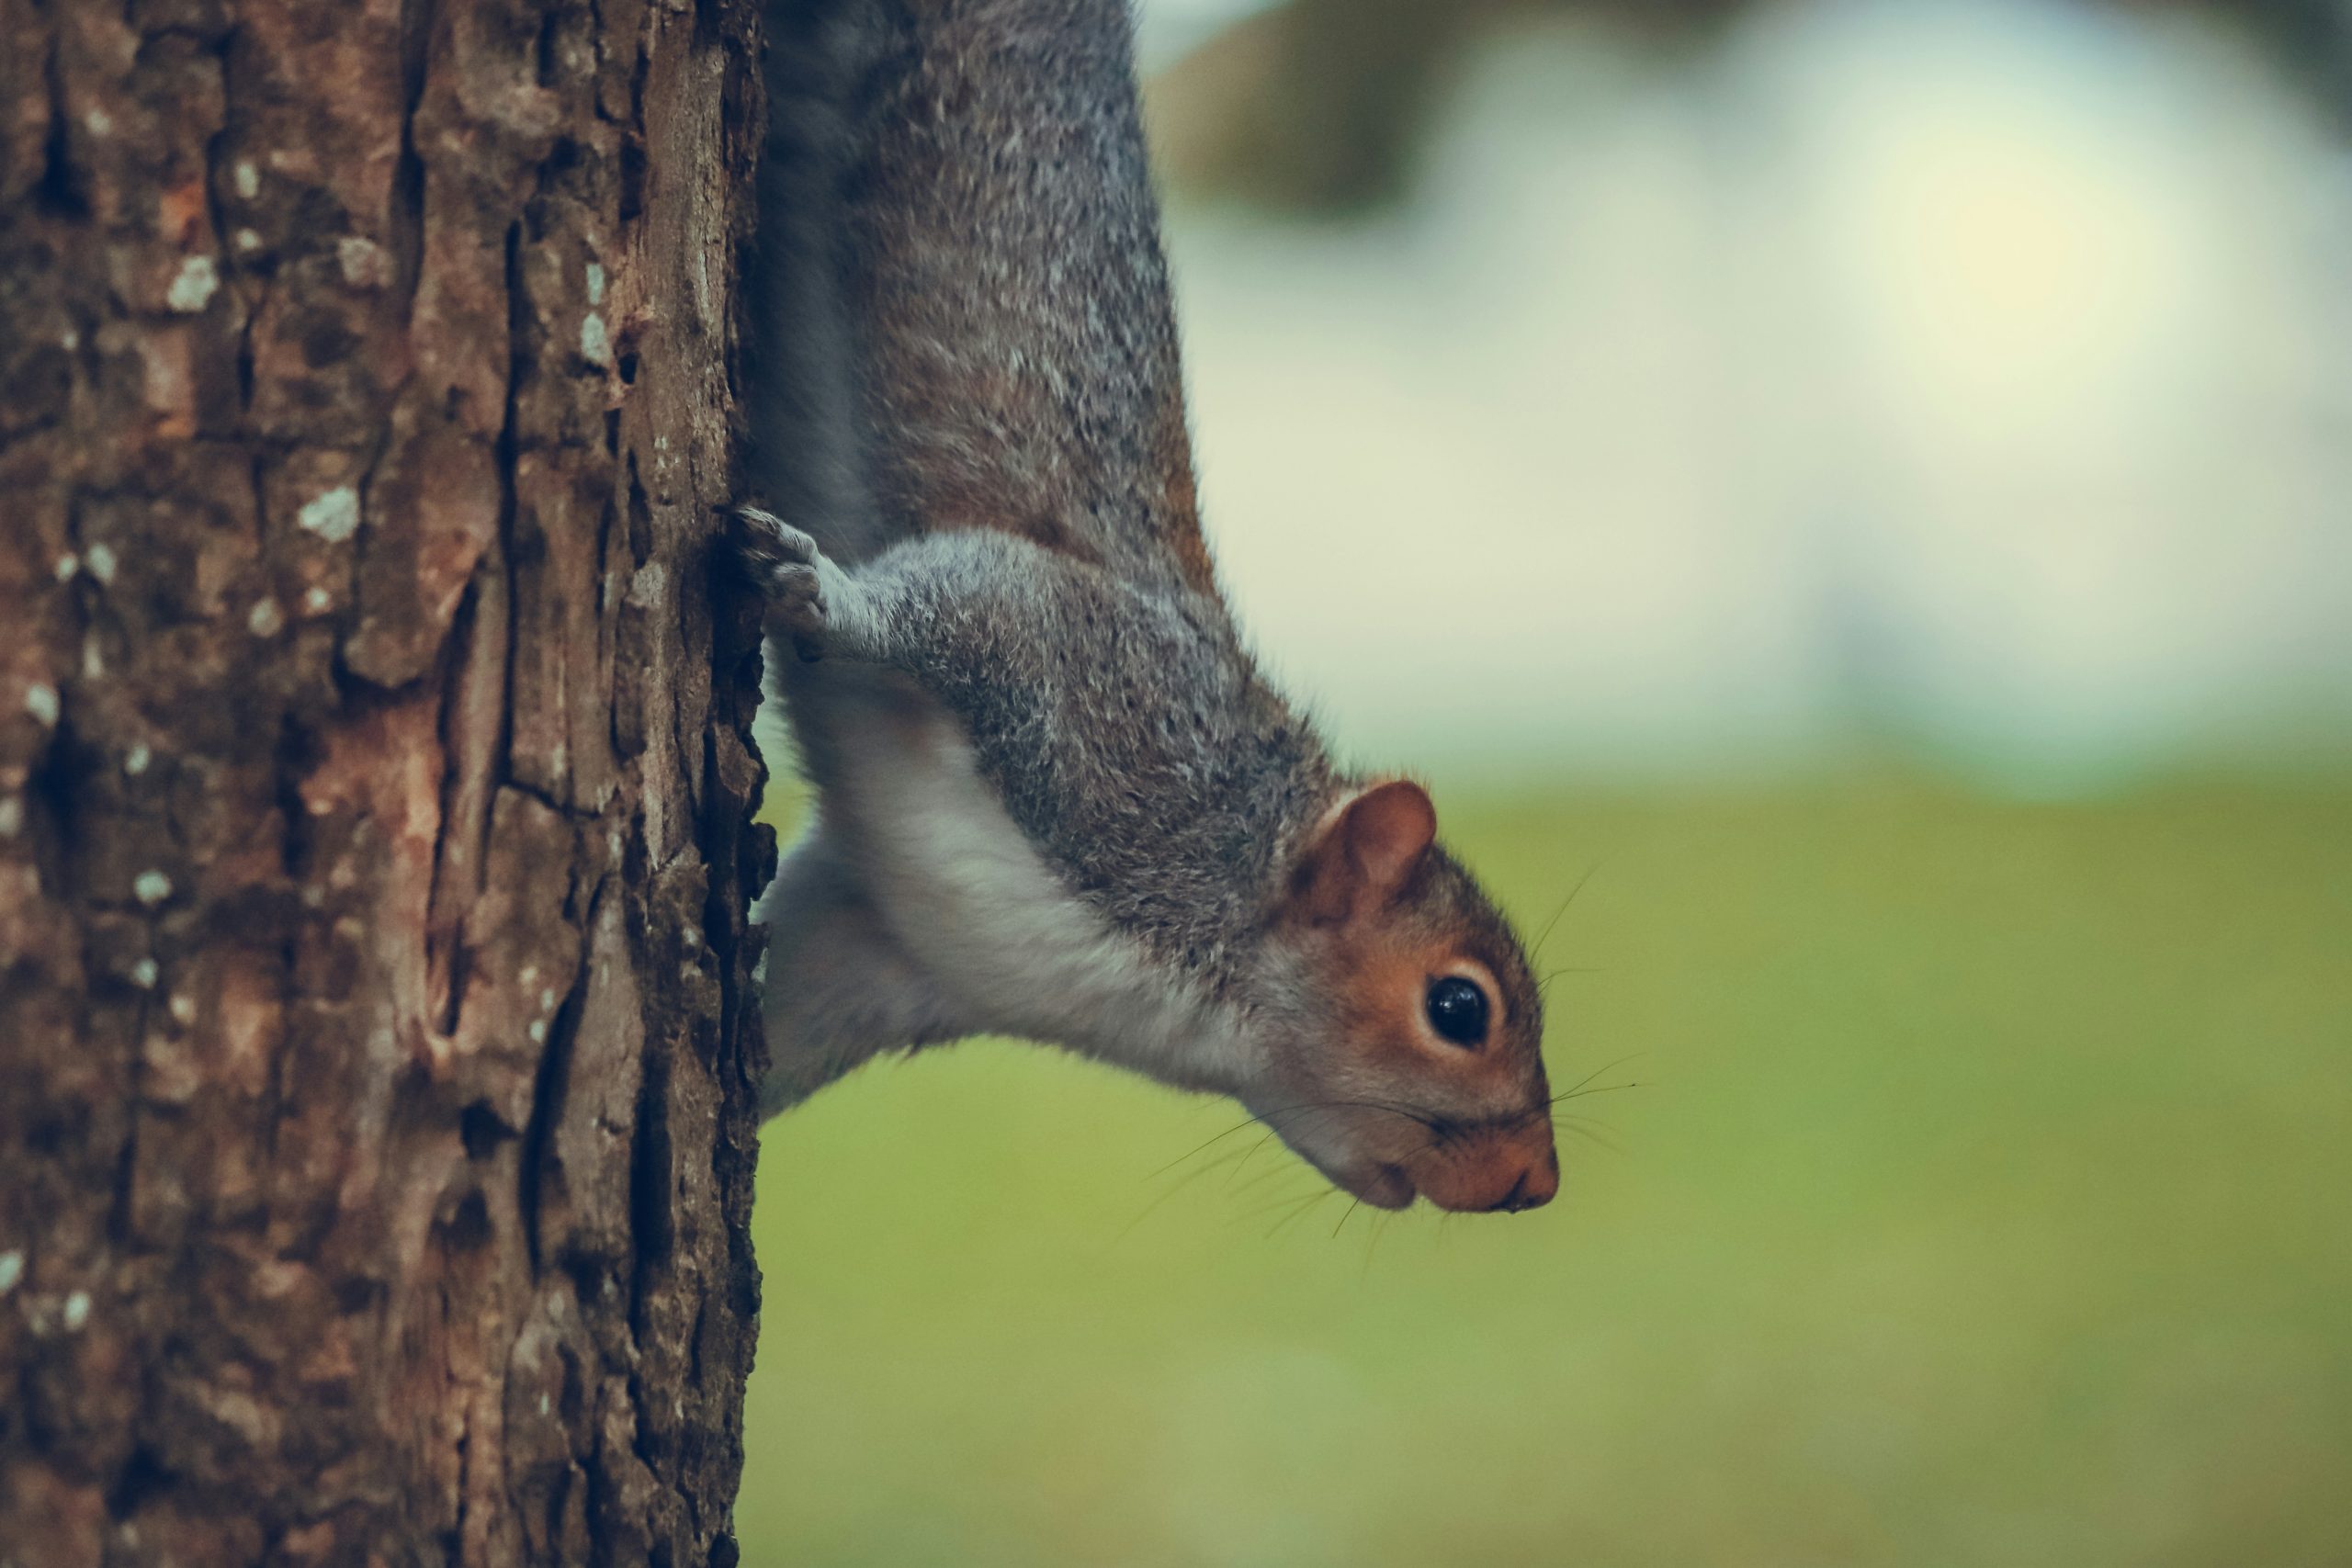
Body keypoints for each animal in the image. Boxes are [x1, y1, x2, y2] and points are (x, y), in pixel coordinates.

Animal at [733, 0, 1561, 1213]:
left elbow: (774, 1012)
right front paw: (823, 595)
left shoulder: (882, 945)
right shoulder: (1102, 704)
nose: (1535, 1183)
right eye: (1460, 1008)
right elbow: (975, 597)